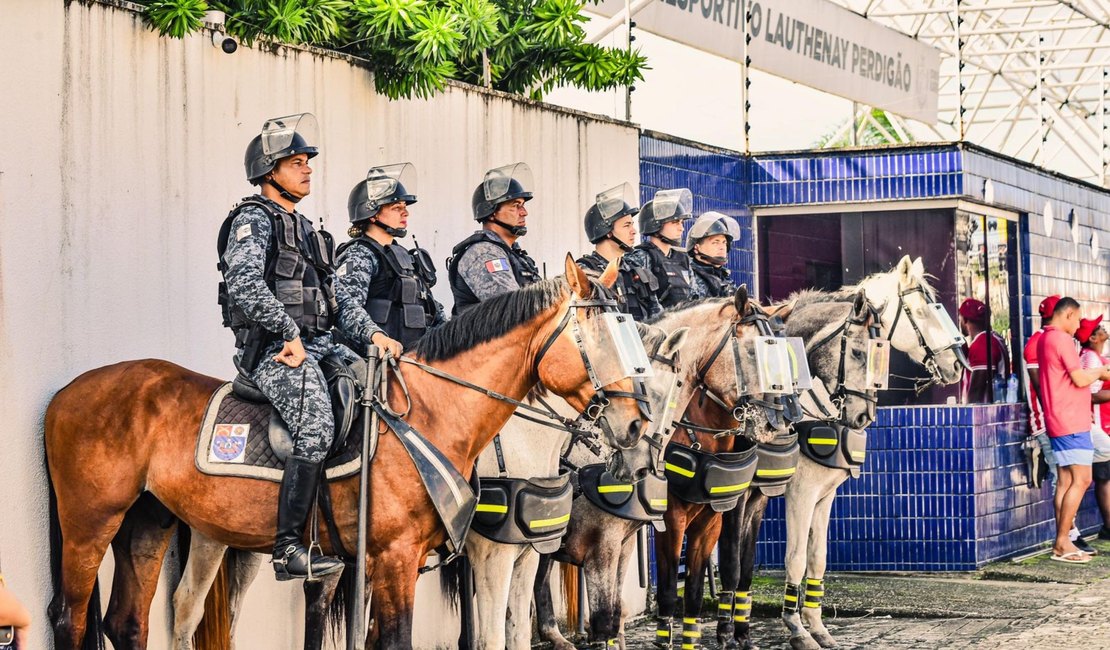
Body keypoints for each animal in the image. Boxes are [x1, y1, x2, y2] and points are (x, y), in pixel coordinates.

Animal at [45, 255, 648, 643]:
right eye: (595, 339)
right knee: (71, 618)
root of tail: (68, 390)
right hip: (92, 523)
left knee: (127, 621)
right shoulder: (400, 558)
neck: (431, 415)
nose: (637, 425)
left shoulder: (396, 563)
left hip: (149, 521)